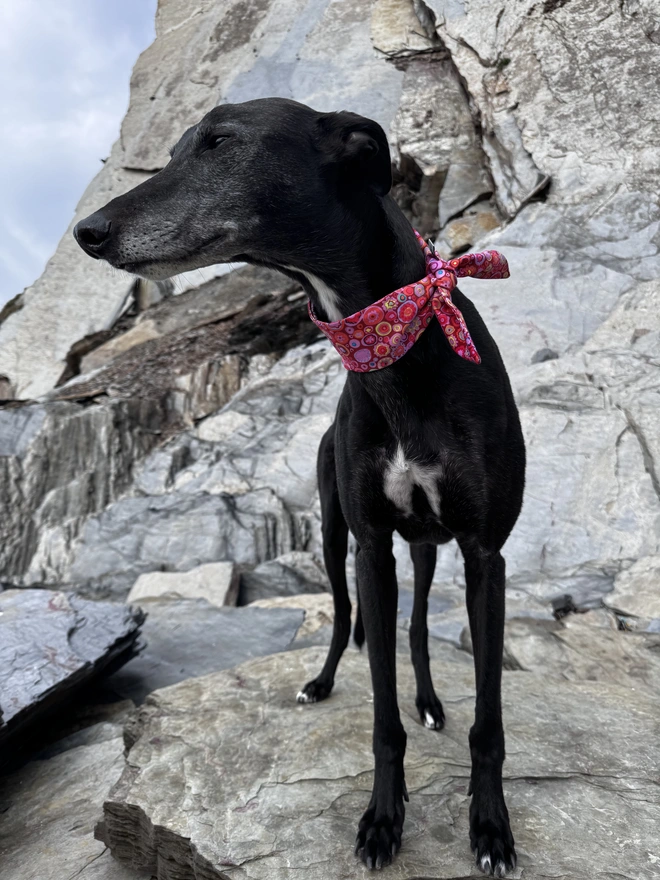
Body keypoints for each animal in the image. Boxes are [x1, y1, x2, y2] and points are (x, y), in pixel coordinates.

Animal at [73, 96, 524, 872]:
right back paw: (321, 682)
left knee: (414, 628)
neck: (401, 349)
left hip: (425, 548)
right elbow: (381, 718)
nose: (88, 232)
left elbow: (487, 721)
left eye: (220, 142)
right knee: (346, 619)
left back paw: (431, 701)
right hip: (338, 535)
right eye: (175, 149)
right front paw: (382, 821)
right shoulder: (372, 545)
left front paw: (491, 828)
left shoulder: (483, 553)